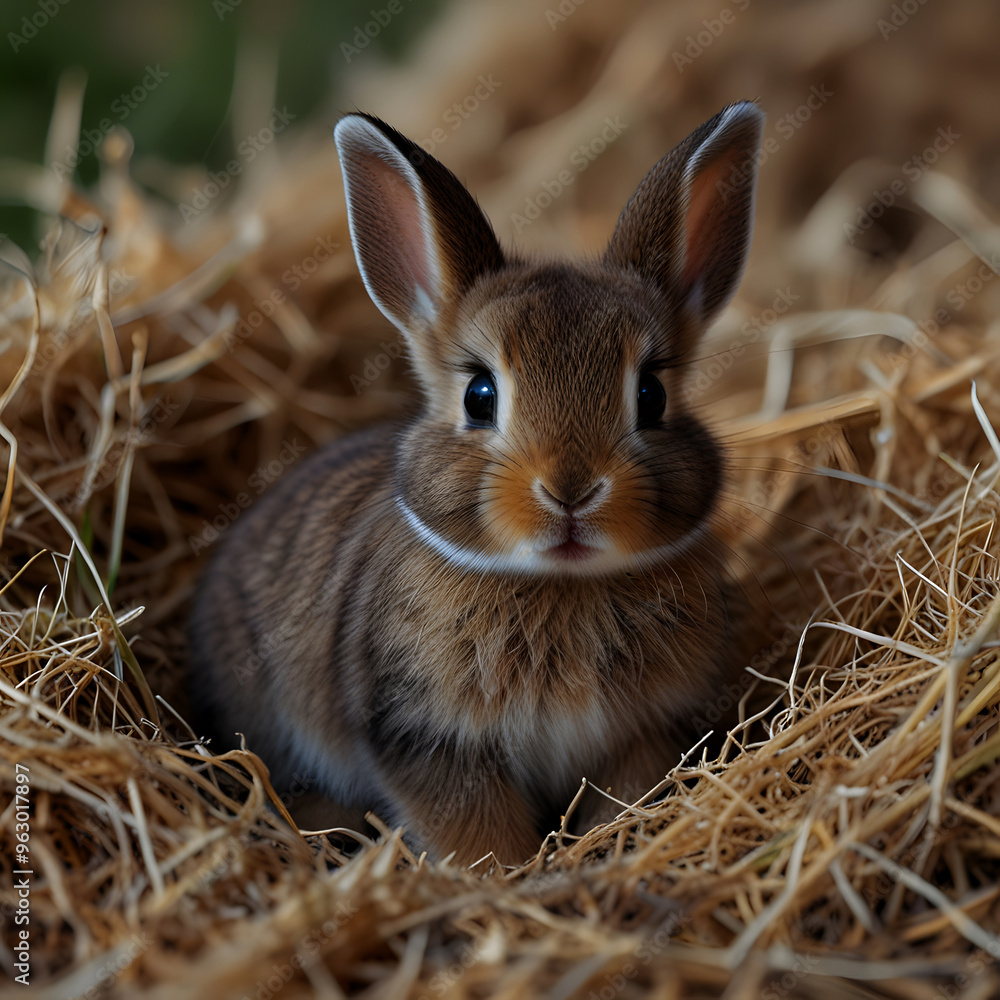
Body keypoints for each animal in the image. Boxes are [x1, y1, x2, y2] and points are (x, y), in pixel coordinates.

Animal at [188, 101, 766, 866]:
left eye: (651, 395)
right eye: (480, 396)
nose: (571, 490)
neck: (561, 585)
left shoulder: (643, 735)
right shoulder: (426, 737)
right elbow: (475, 829)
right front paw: (506, 875)